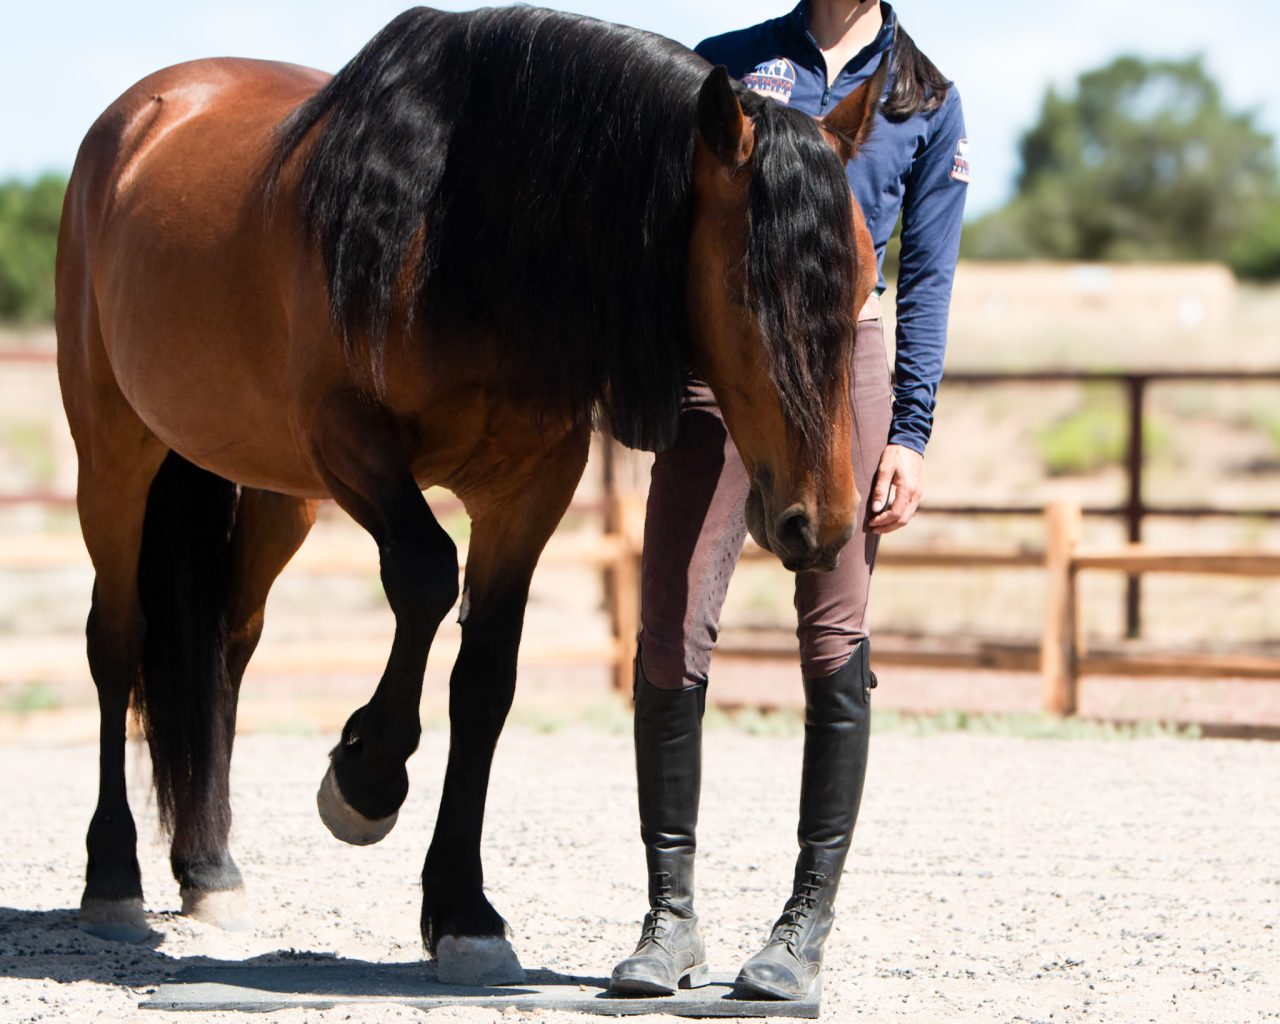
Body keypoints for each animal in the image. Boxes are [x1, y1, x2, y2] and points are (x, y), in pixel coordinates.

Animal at [55, 5, 883, 983]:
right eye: (750, 293)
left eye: (866, 282)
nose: (822, 523)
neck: (459, 227)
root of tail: (141, 115)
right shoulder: (349, 441)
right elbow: (424, 574)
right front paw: (366, 778)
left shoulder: (529, 488)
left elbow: (485, 679)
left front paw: (462, 910)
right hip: (115, 455)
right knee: (117, 639)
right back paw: (112, 875)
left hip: (271, 491)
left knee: (225, 643)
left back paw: (210, 867)